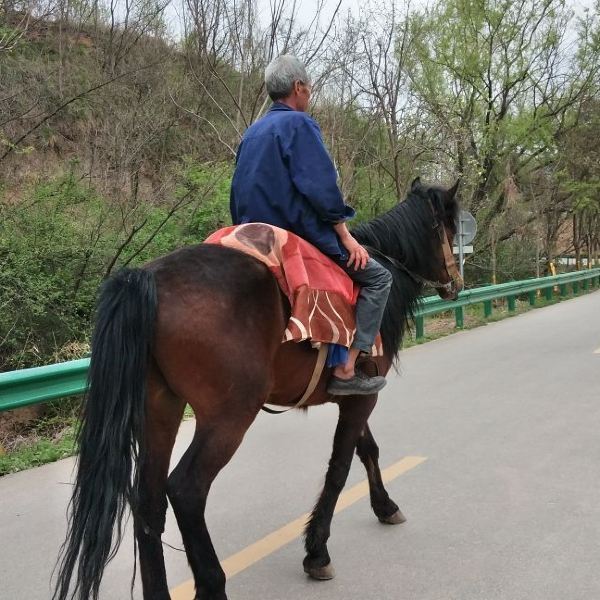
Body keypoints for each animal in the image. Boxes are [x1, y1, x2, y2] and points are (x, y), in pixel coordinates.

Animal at [54, 178, 462, 600]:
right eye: (450, 226)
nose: (457, 284)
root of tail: (147, 278)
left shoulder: (355, 396)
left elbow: (367, 450)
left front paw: (384, 506)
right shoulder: (364, 397)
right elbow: (340, 467)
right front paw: (317, 552)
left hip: (161, 410)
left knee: (148, 502)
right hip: (229, 416)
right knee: (186, 490)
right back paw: (212, 583)